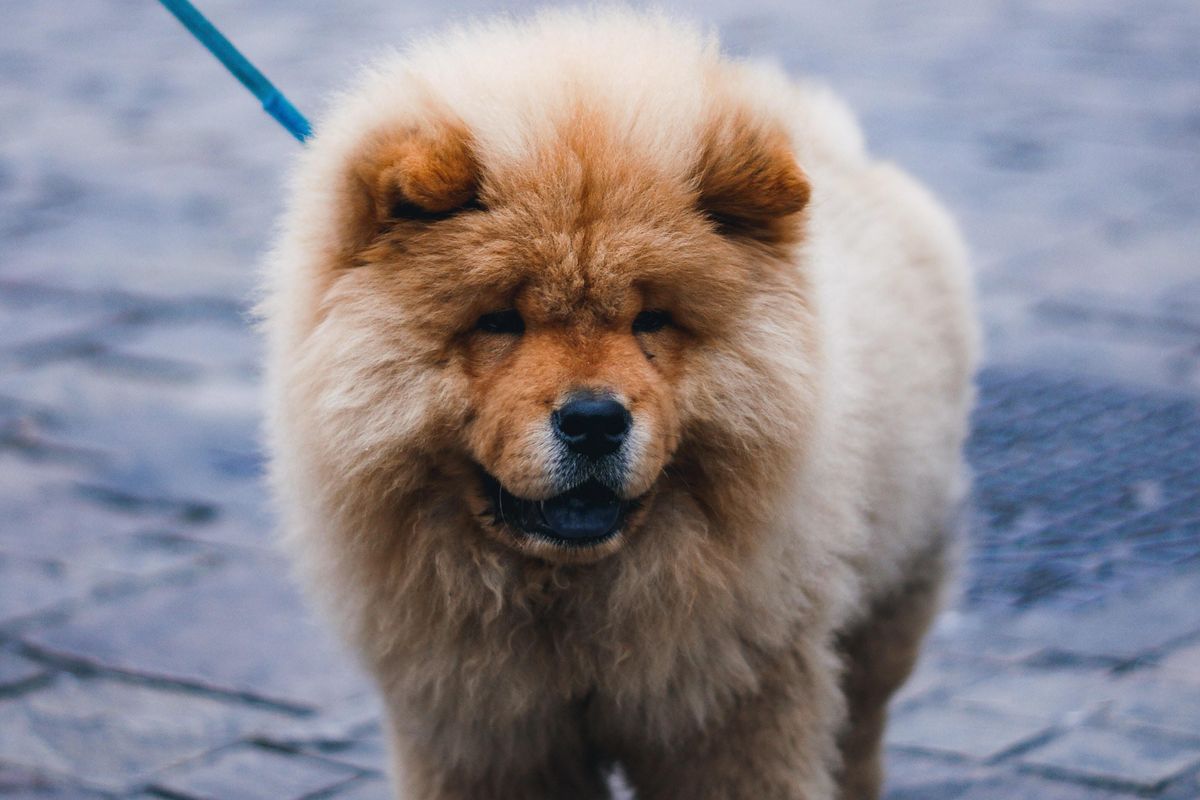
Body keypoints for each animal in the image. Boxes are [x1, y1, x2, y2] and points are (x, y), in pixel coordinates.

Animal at [260, 7, 974, 800]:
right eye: (500, 322)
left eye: (651, 321)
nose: (595, 422)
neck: (573, 602)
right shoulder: (486, 735)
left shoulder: (733, 712)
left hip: (891, 593)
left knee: (859, 732)